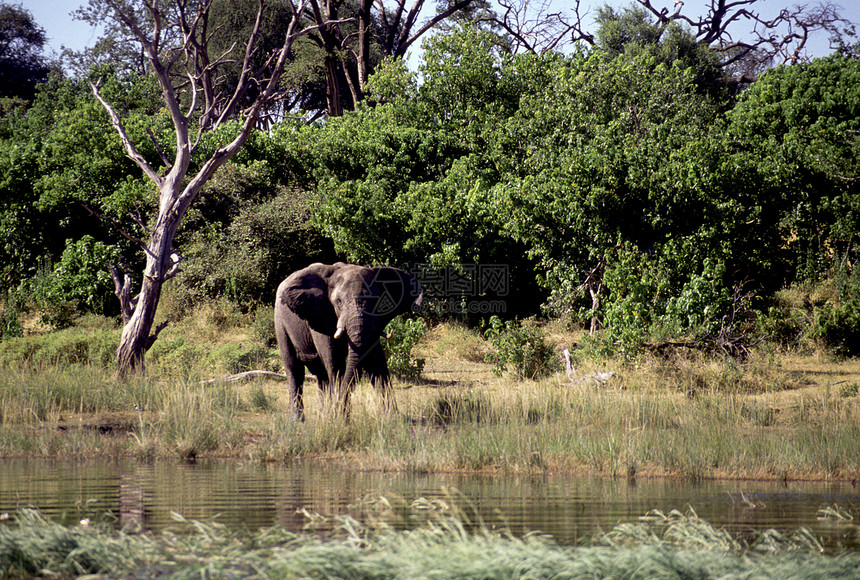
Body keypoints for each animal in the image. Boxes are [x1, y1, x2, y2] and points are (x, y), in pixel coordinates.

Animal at [276, 262, 424, 422]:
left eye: (377, 300)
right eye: (339, 302)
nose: (337, 411)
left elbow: (377, 362)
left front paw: (392, 419)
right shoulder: (321, 317)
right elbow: (334, 362)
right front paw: (340, 420)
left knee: (321, 375)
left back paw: (323, 417)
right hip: (280, 322)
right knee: (294, 369)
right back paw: (298, 421)